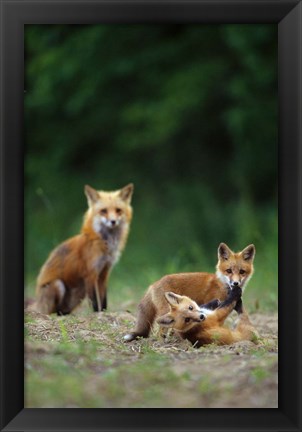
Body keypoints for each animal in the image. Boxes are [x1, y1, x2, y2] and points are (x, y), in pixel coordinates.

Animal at [33, 182, 133, 314]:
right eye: (104, 211)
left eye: (118, 210)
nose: (113, 221)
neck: (105, 244)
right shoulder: (90, 273)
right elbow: (95, 301)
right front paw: (98, 314)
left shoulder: (104, 272)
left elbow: (103, 299)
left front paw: (104, 312)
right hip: (59, 285)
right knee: (53, 311)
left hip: (80, 292)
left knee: (62, 311)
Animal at [124, 243, 255, 340]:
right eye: (229, 271)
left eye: (242, 272)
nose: (235, 283)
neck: (223, 285)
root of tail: (153, 284)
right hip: (166, 311)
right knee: (160, 331)